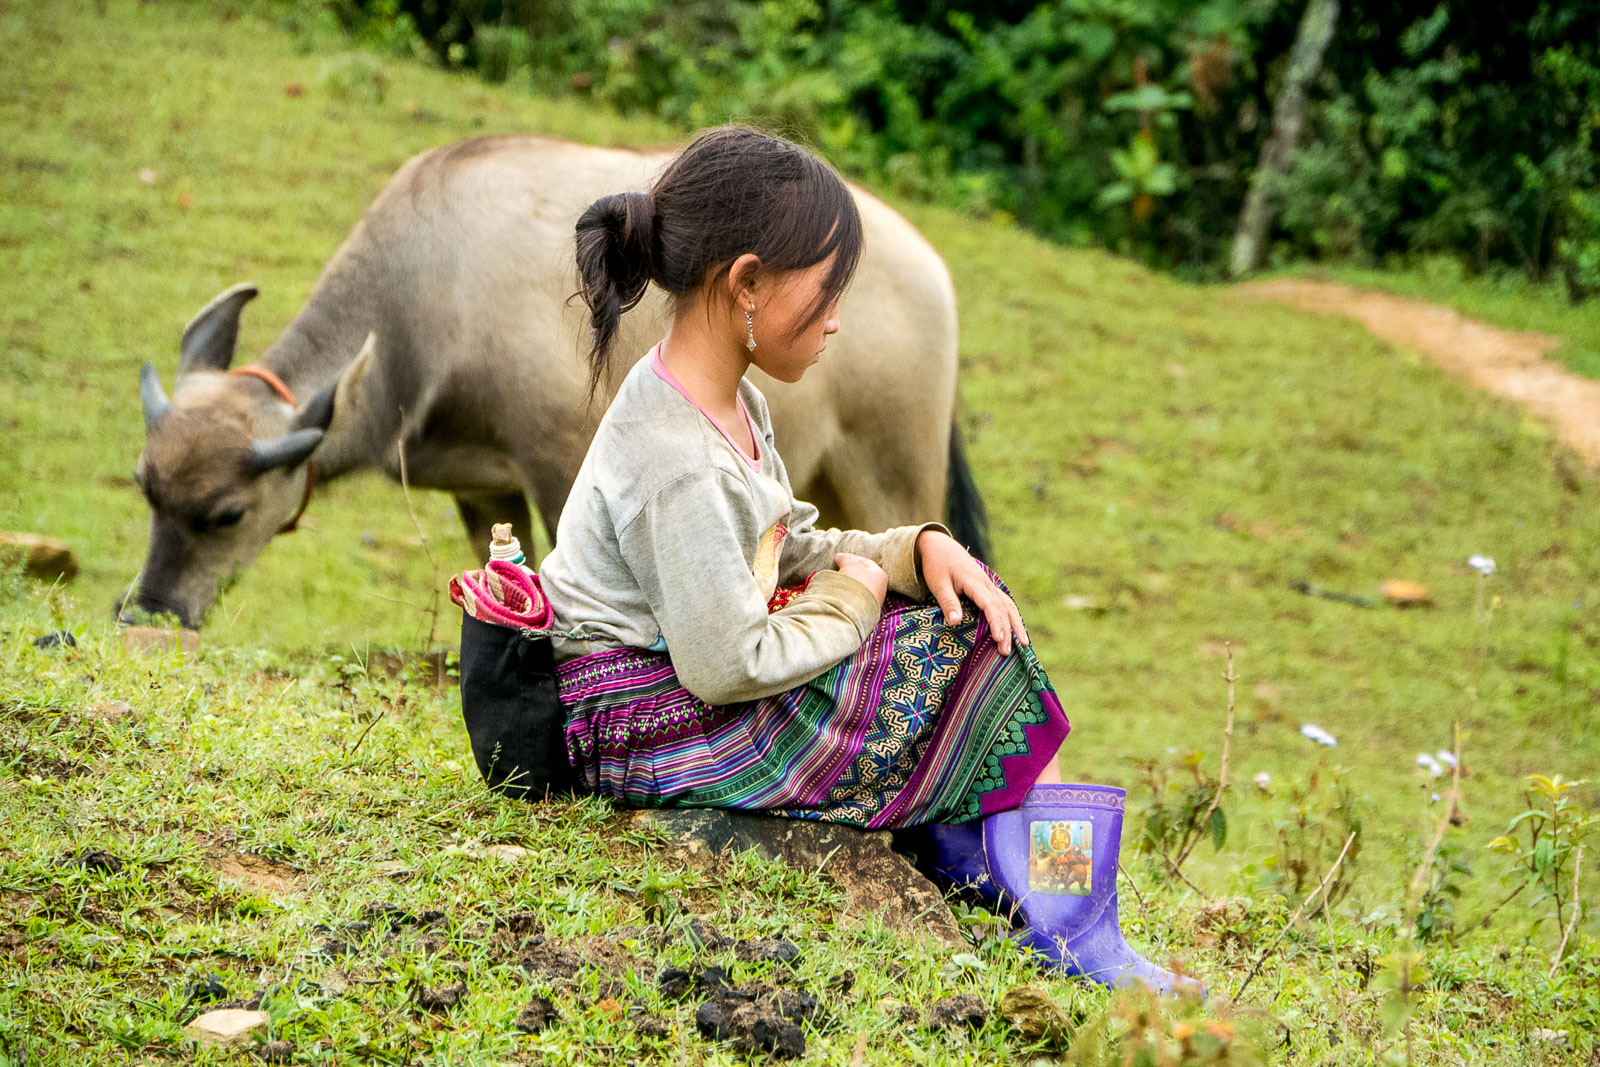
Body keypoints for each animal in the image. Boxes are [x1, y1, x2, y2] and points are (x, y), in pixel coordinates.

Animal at [121, 135, 987, 630]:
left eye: (227, 514)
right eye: (147, 491)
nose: (153, 610)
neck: (428, 304)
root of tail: (934, 269)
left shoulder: (556, 464)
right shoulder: (480, 488)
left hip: (892, 466)